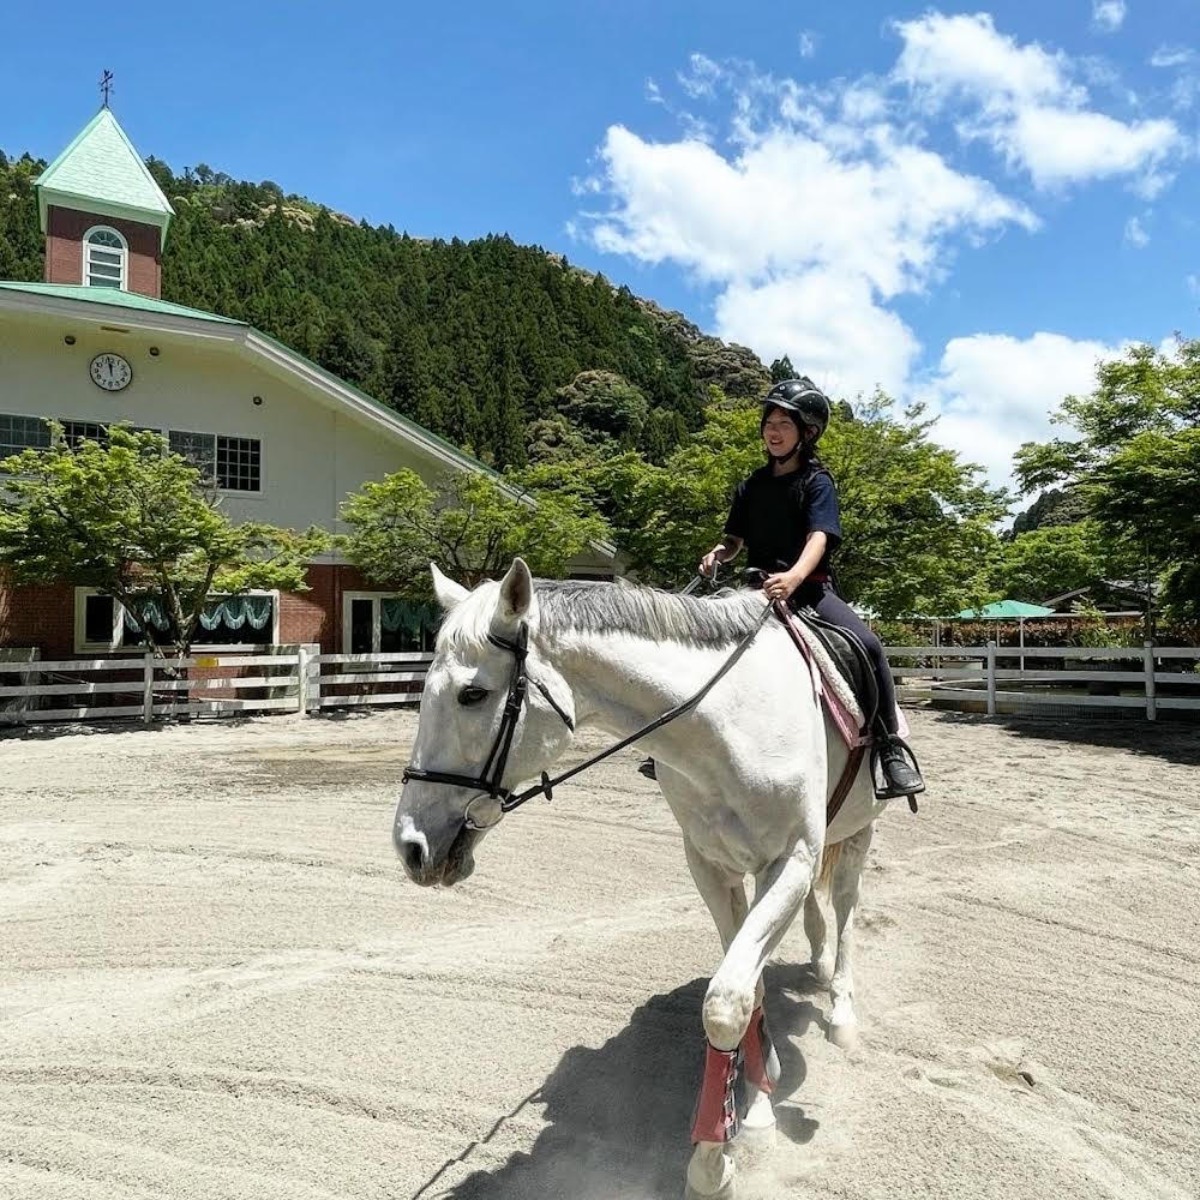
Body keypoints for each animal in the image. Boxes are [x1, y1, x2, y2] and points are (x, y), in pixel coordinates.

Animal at [393, 561, 892, 1200]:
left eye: (472, 694)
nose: (411, 846)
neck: (728, 726)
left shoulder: (790, 864)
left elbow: (727, 1001)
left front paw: (712, 1163)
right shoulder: (710, 866)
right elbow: (749, 991)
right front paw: (756, 1108)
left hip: (857, 834)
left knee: (849, 906)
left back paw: (843, 1015)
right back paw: (817, 964)